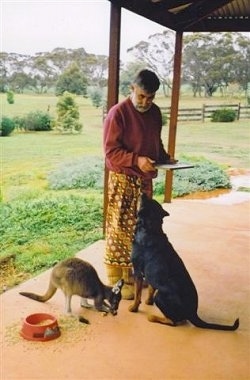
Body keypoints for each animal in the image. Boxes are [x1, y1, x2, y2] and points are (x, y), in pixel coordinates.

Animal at [130, 194, 239, 332]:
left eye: (145, 201)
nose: (143, 194)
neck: (151, 229)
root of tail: (193, 313)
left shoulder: (137, 272)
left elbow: (137, 294)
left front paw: (133, 308)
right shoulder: (151, 276)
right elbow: (150, 288)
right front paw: (148, 302)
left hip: (160, 296)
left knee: (173, 321)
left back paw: (153, 317)